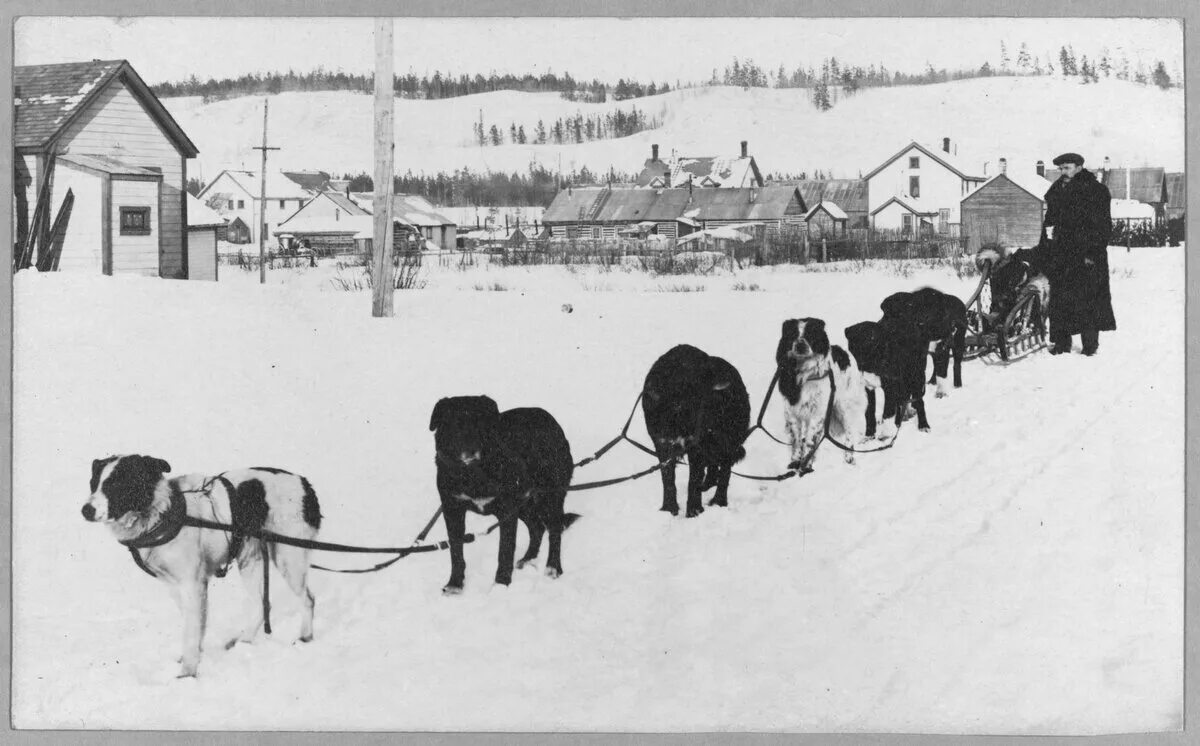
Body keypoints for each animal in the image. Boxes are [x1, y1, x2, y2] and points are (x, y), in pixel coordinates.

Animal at [81, 455, 321, 676]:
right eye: (93, 483)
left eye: (116, 484)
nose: (86, 510)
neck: (161, 514)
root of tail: (304, 483)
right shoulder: (175, 586)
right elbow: (196, 625)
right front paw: (194, 657)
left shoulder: (192, 584)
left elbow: (191, 631)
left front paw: (188, 673)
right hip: (250, 558)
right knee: (263, 604)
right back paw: (243, 642)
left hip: (289, 557)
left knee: (307, 599)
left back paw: (306, 636)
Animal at [429, 398, 578, 597]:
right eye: (455, 424)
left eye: (481, 423)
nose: (471, 451)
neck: (473, 473)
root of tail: (550, 419)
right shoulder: (452, 509)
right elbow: (456, 550)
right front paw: (455, 584)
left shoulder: (506, 511)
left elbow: (505, 550)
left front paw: (501, 584)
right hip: (523, 503)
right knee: (537, 527)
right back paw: (528, 558)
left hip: (549, 496)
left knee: (554, 530)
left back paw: (553, 567)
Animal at [643, 345, 744, 518]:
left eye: (703, 398)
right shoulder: (662, 443)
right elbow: (667, 478)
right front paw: (669, 508)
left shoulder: (696, 445)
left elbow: (694, 479)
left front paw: (694, 510)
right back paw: (709, 484)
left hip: (727, 438)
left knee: (725, 469)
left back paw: (719, 500)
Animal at [772, 319, 868, 472]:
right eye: (793, 335)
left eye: (810, 334)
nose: (800, 344)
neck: (804, 374)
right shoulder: (792, 412)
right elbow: (797, 439)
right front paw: (795, 461)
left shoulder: (817, 412)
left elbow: (810, 441)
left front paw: (805, 466)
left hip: (844, 406)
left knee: (849, 432)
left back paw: (849, 457)